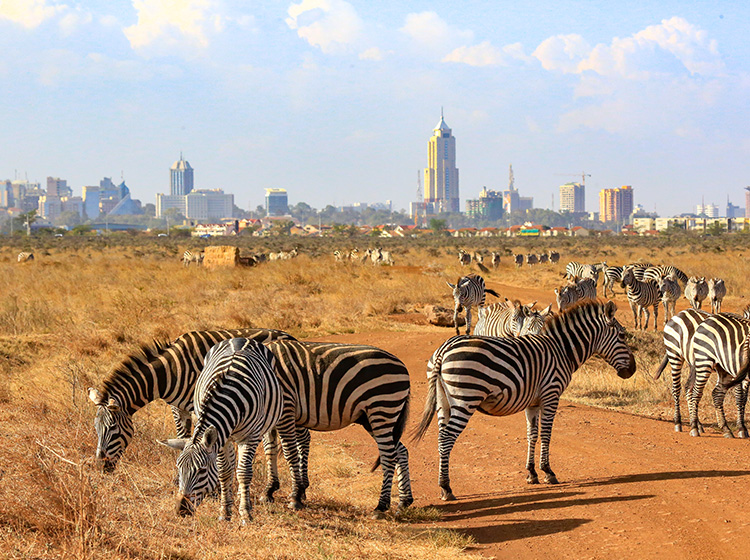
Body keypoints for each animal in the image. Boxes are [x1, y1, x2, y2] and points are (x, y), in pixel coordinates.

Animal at [87, 327, 295, 474]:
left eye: (113, 428)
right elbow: (182, 437)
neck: (169, 372)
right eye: (96, 428)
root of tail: (289, 336)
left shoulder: (198, 406)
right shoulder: (178, 408)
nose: (101, 466)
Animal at [159, 339, 283, 523]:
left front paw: (245, 513)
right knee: (231, 465)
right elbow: (224, 472)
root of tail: (240, 338)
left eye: (202, 470)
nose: (181, 510)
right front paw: (225, 512)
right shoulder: (221, 438)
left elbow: (244, 472)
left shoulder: (250, 436)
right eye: (178, 468)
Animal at [262, 340, 413, 517]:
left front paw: (295, 497)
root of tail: (403, 366)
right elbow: (270, 450)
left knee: (389, 456)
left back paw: (381, 506)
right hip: (373, 418)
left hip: (382, 408)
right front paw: (269, 490)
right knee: (400, 451)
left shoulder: (286, 408)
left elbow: (289, 453)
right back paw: (404, 501)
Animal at [413, 300, 635, 500]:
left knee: (441, 437)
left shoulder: (533, 402)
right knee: (447, 438)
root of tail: (443, 350)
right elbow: (546, 434)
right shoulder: (551, 394)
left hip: (443, 402)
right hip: (465, 399)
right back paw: (446, 488)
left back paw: (443, 486)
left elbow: (532, 435)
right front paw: (548, 472)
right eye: (622, 336)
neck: (562, 350)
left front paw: (531, 473)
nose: (632, 371)